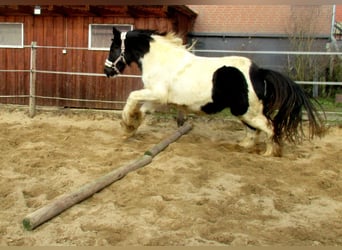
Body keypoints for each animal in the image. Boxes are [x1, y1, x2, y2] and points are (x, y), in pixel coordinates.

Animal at [103, 27, 324, 156]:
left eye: (113, 48)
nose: (106, 71)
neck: (161, 60)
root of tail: (258, 72)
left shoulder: (157, 93)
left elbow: (132, 97)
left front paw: (126, 123)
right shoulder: (158, 98)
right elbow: (142, 111)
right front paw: (130, 127)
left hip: (247, 111)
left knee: (269, 127)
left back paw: (269, 153)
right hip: (244, 112)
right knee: (253, 132)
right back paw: (242, 146)